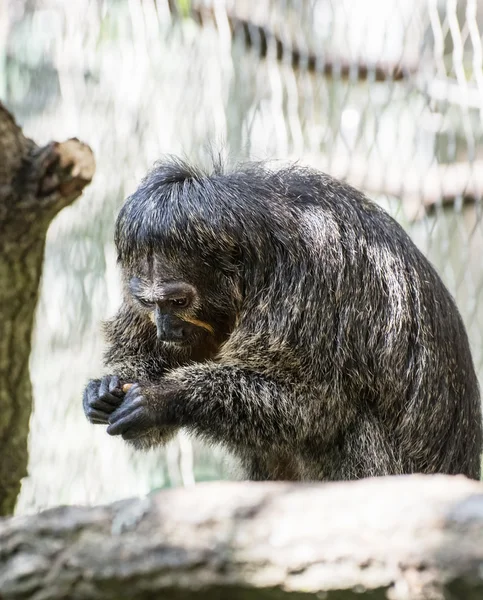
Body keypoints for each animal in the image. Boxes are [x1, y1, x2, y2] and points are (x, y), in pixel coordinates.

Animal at [83, 157, 483, 480]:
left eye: (179, 301)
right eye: (147, 303)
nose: (166, 330)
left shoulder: (311, 278)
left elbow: (313, 405)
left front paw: (163, 399)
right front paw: (107, 386)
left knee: (350, 420)